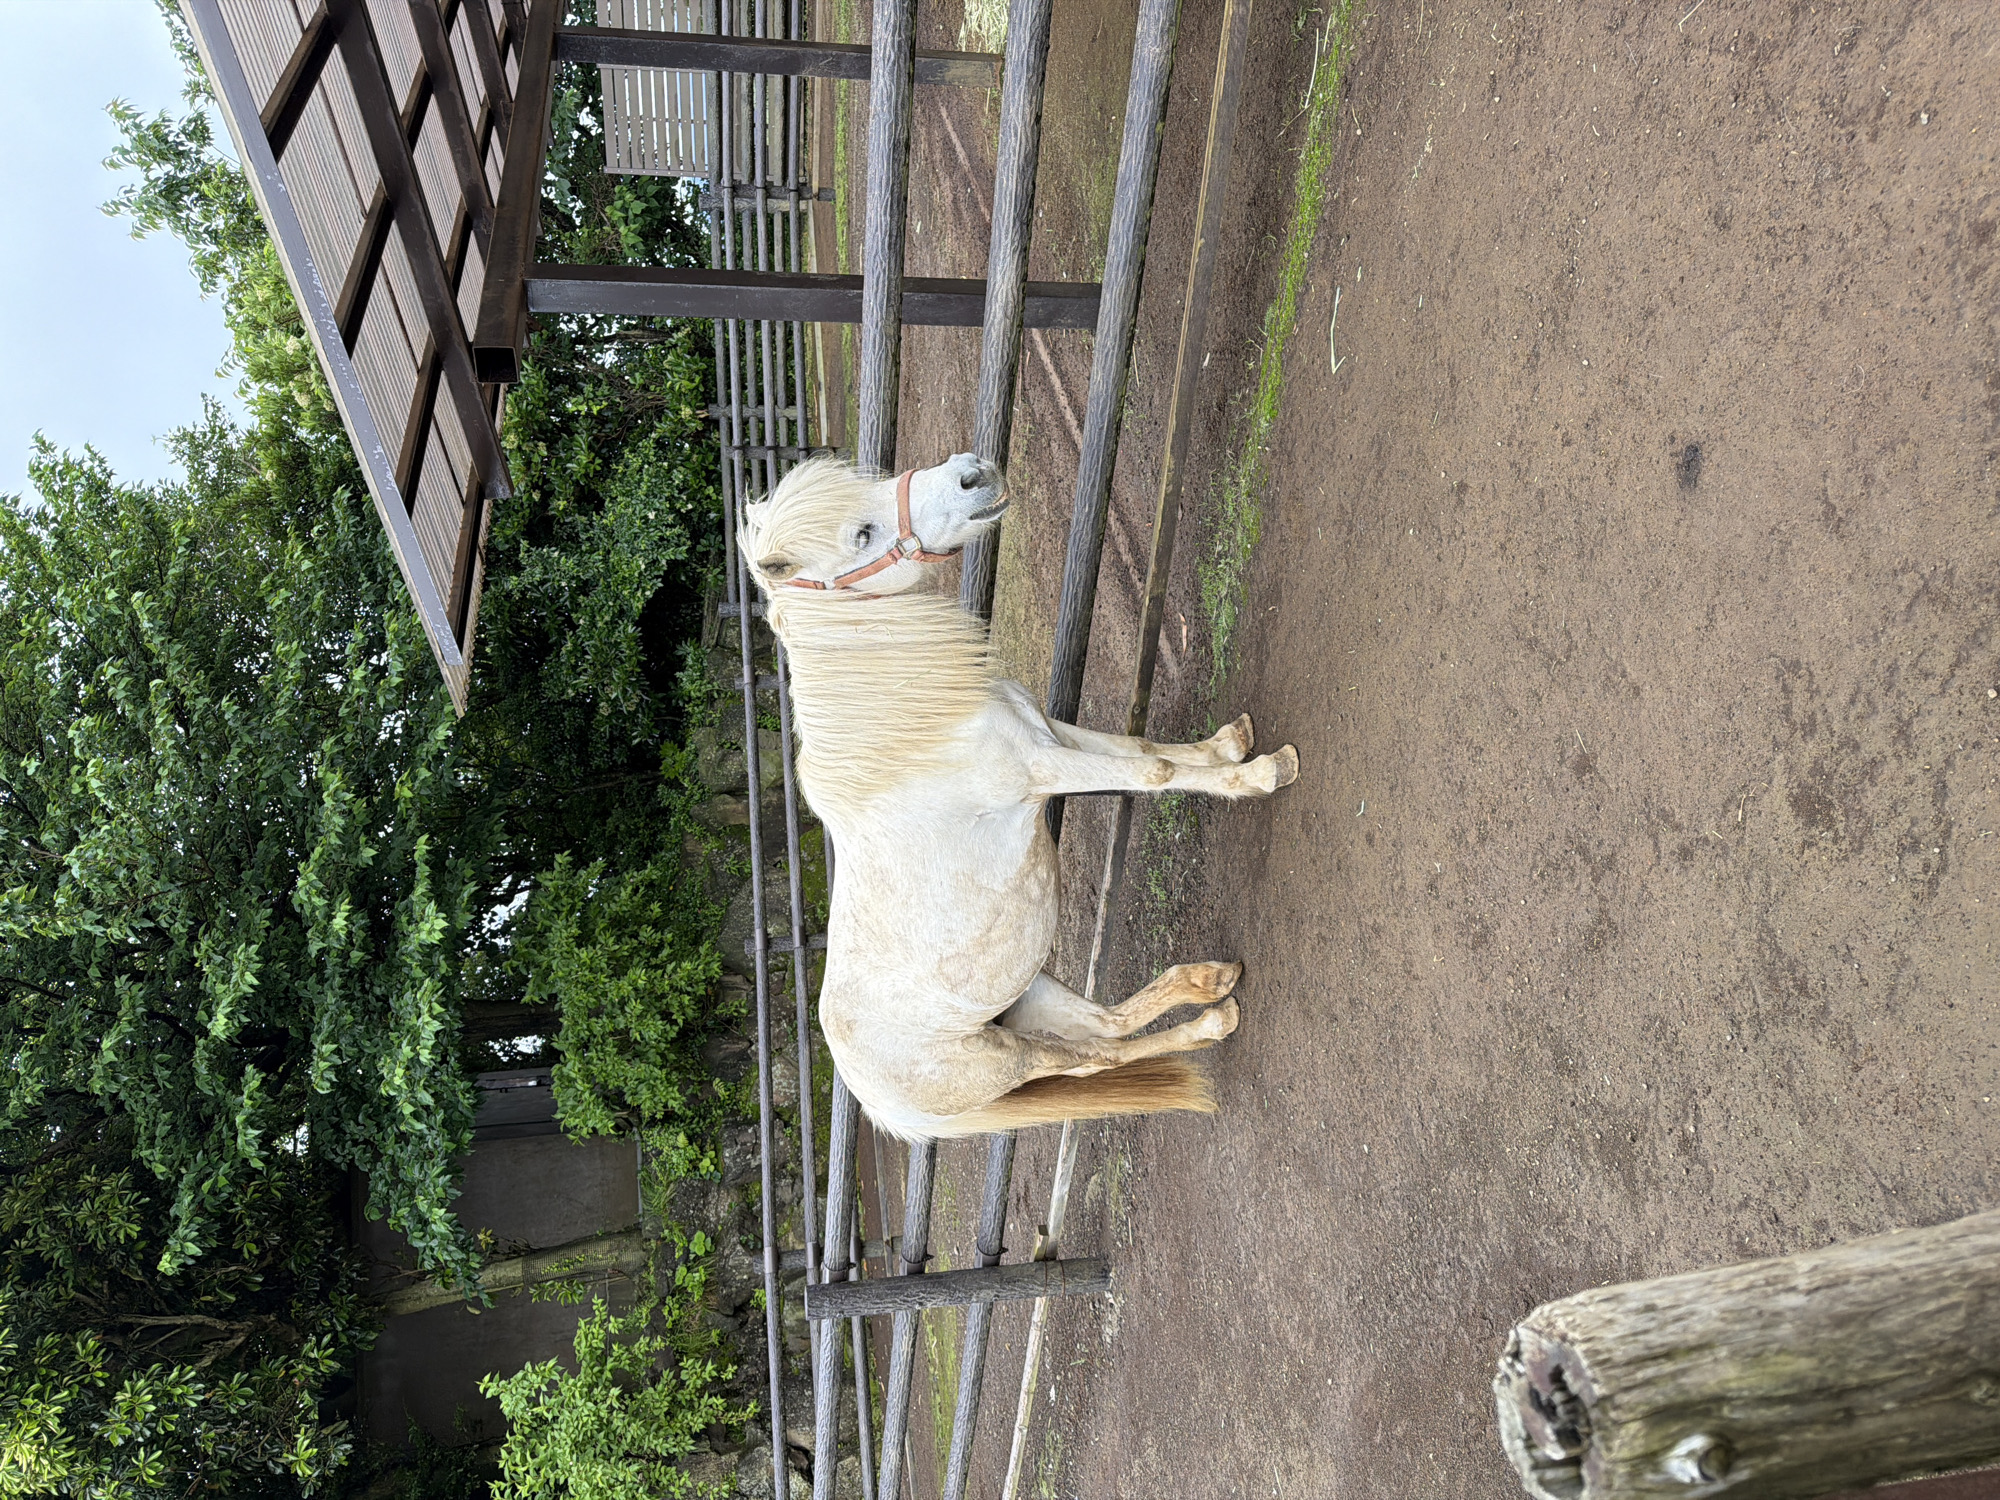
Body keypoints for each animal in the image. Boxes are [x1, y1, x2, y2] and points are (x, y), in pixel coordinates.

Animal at [739, 452, 1299, 1140]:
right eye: (862, 536)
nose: (971, 473)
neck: (919, 727)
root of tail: (881, 1104)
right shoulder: (1041, 768)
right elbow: (1154, 774)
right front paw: (1266, 773)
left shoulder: (1052, 734)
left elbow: (1142, 750)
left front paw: (1230, 746)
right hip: (1007, 1056)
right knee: (1093, 1058)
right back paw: (1214, 1016)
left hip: (1030, 993)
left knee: (1108, 1025)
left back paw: (1210, 986)